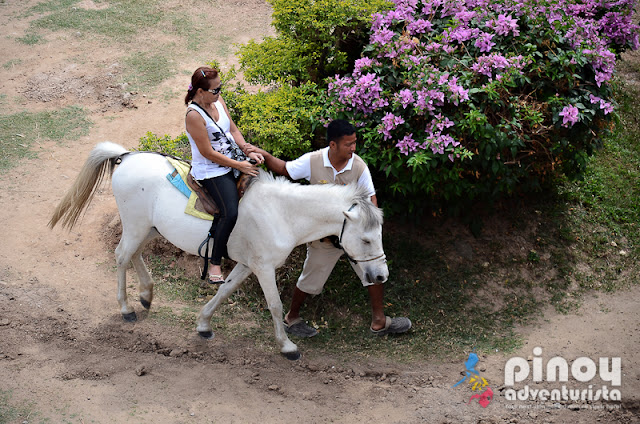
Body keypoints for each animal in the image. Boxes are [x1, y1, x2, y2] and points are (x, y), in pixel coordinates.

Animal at [47, 142, 388, 358]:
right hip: (135, 224)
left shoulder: (247, 264)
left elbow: (224, 291)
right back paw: (127, 307)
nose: (381, 276)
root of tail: (126, 157)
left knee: (134, 255)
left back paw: (146, 294)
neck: (282, 212)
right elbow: (275, 305)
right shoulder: (263, 267)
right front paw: (287, 346)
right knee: (121, 256)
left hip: (149, 228)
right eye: (366, 240)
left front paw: (203, 325)